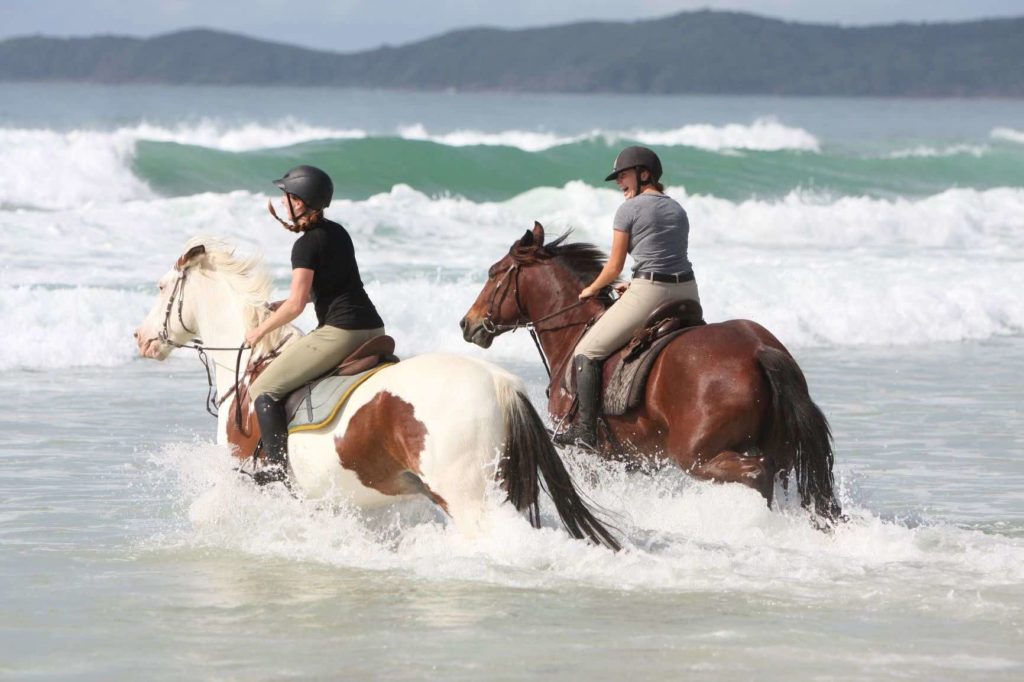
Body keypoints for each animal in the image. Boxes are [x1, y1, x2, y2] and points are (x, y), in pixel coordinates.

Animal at [134, 233, 614, 548]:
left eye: (160, 288)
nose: (141, 339)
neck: (254, 363)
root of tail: (502, 384)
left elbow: (206, 511)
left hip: (465, 494)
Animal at [460, 220, 843, 518]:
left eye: (493, 274)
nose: (468, 324)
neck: (573, 331)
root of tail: (759, 348)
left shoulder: (589, 455)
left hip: (697, 455)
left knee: (757, 474)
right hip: (776, 448)